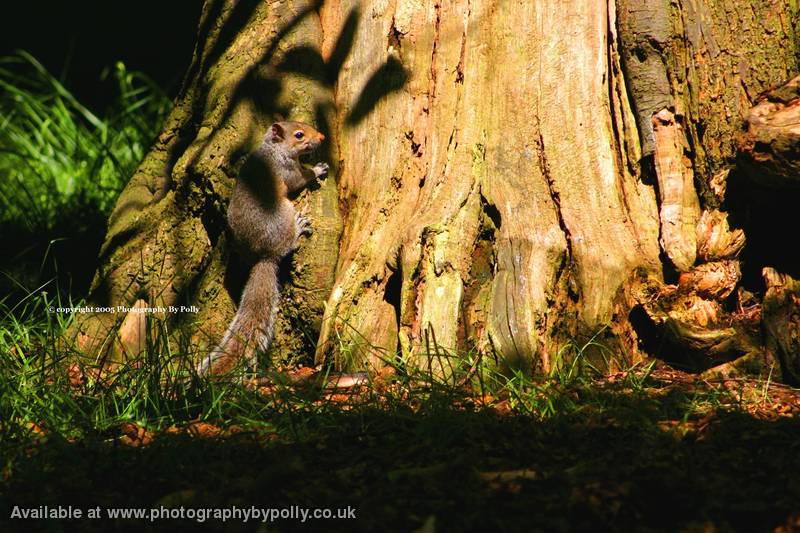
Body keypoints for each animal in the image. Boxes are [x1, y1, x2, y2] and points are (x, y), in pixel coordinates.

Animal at [198, 120, 330, 374]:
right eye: (299, 135)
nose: (322, 137)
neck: (274, 148)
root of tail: (264, 256)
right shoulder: (286, 170)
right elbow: (301, 178)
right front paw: (318, 169)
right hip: (284, 213)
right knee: (288, 244)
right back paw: (298, 229)